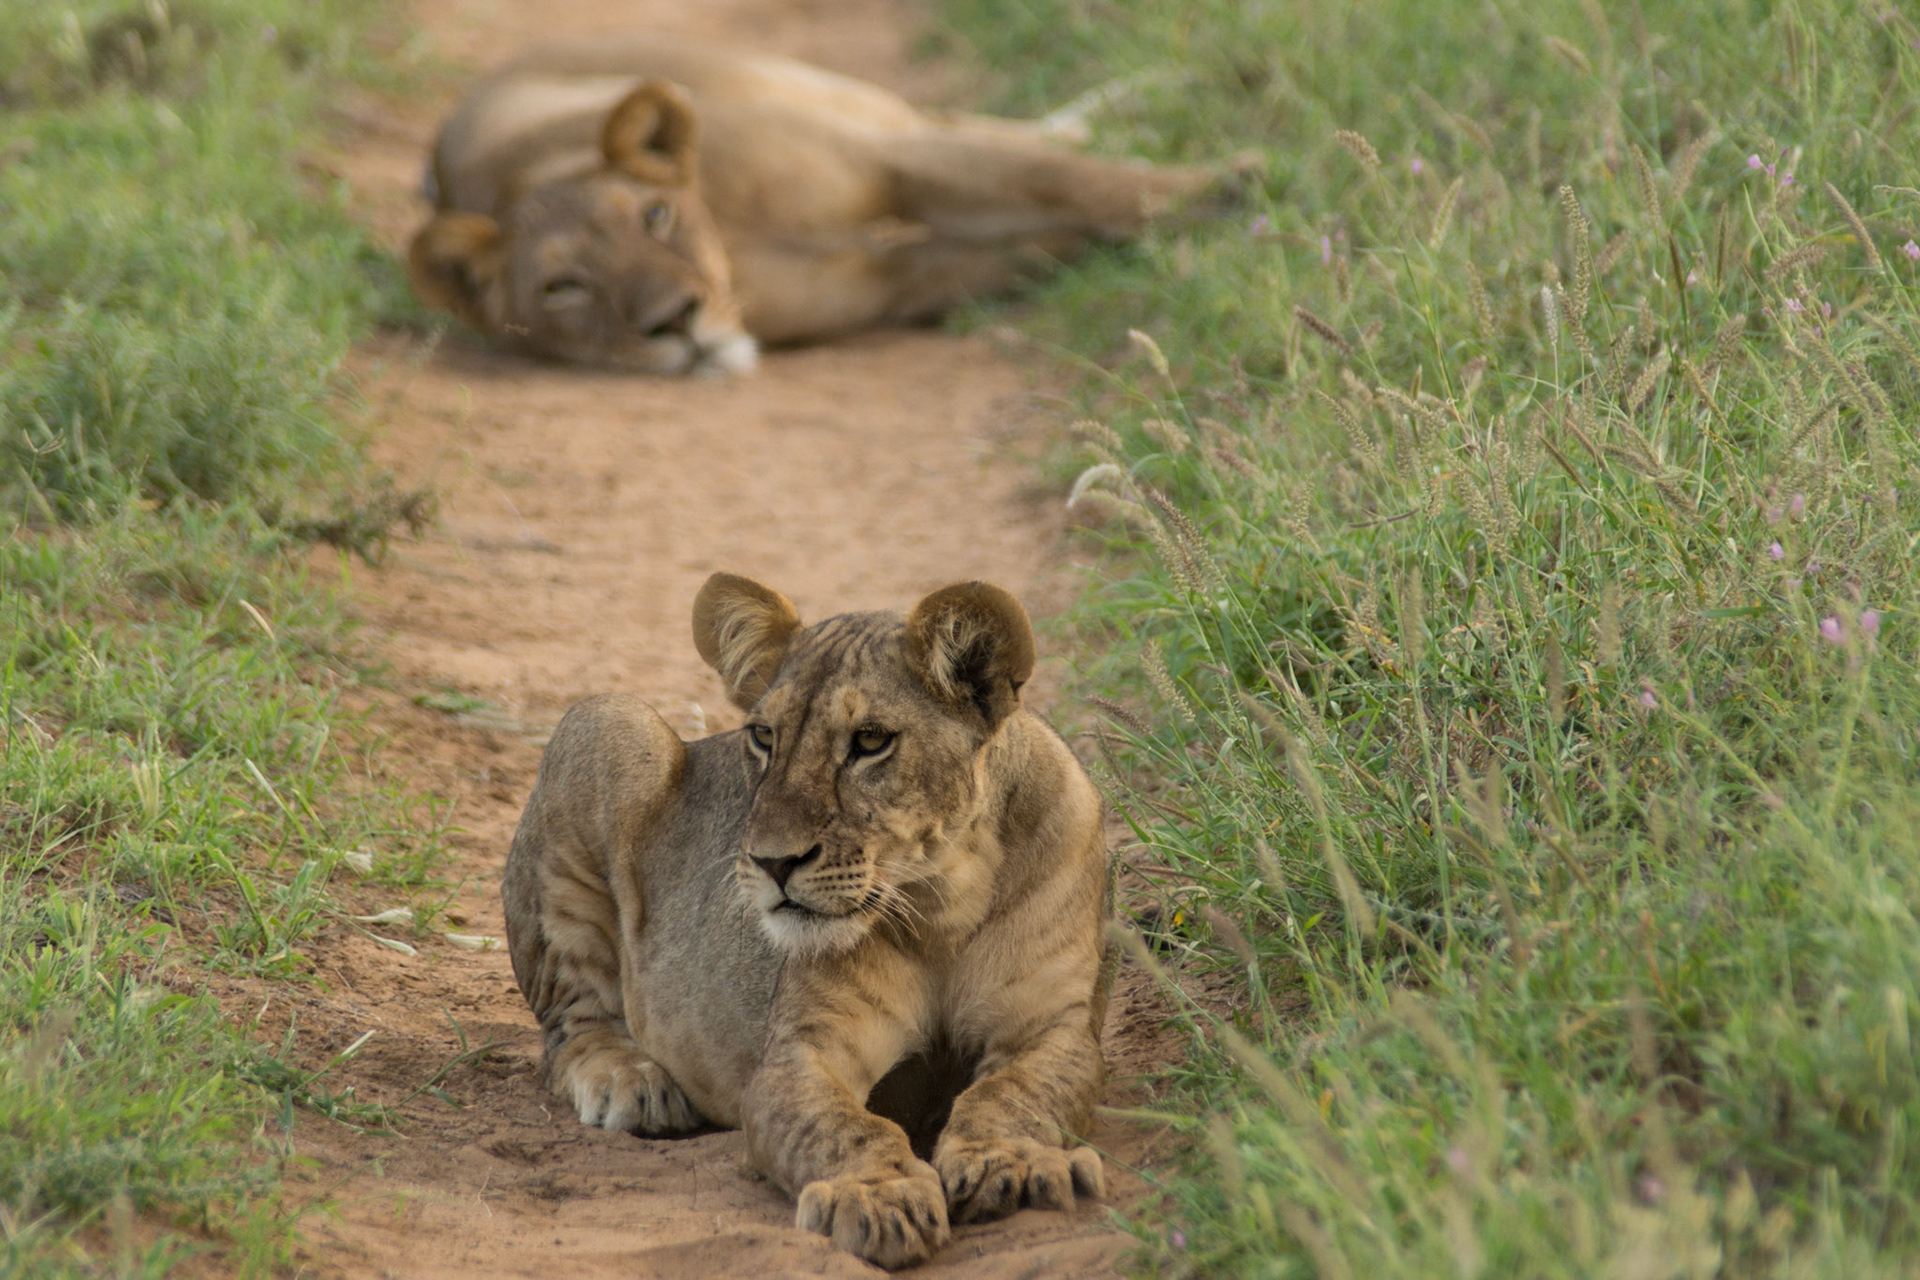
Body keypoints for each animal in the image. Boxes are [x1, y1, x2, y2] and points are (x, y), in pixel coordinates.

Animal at [410, 33, 1219, 374]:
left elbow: (1059, 179)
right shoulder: (885, 284)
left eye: (653, 217)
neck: (731, 242)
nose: (676, 322)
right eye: (562, 287)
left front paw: (1225, 187)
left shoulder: (883, 162)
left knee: (985, 128)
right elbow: (1022, 252)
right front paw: (1115, 257)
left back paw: (1160, 100)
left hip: (821, 91)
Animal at [501, 573, 1112, 1268]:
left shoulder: (1054, 1028)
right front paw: (878, 1196)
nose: (773, 862)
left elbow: (1013, 1094)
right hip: (604, 724)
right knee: (571, 1026)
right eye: (764, 736)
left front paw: (1008, 1164)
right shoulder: (801, 1054)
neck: (945, 904)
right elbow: (846, 1127)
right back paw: (631, 1084)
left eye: (871, 741)